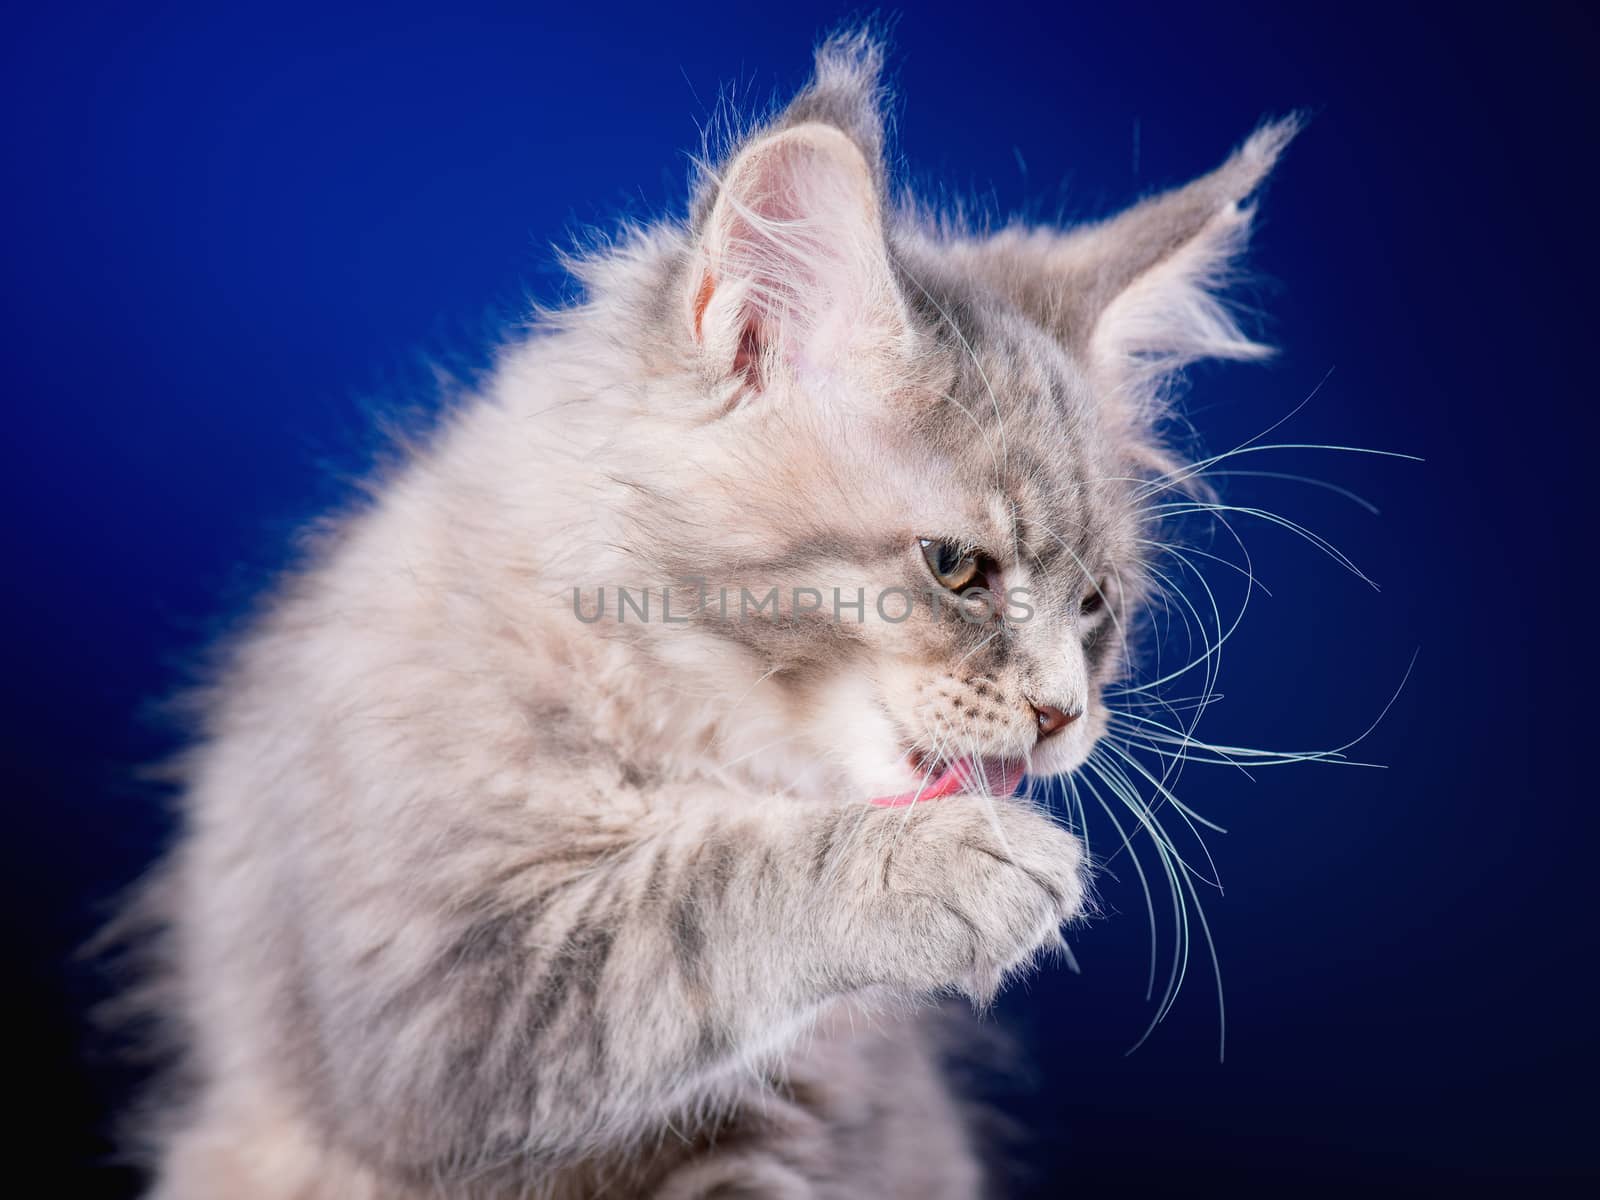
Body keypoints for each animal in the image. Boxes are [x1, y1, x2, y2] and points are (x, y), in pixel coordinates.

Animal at [121, 30, 1299, 1200]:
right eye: (957, 568)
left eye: (1095, 606)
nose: (1063, 715)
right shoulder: (432, 999)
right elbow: (700, 895)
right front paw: (952, 862)